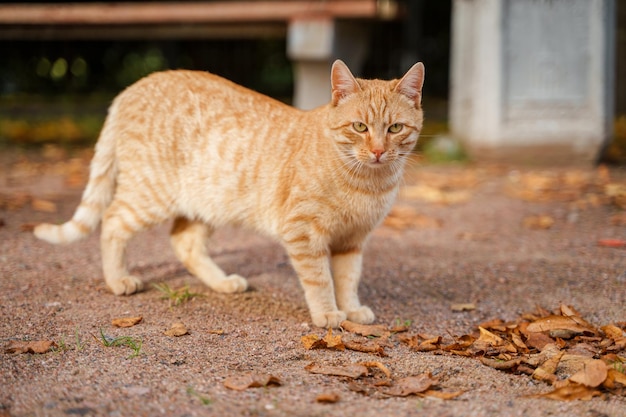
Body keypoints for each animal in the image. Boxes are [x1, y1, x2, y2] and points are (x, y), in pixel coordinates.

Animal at [34, 60, 424, 328]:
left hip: (208, 203)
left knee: (183, 241)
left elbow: (348, 278)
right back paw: (118, 280)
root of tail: (133, 87)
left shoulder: (352, 241)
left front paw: (352, 308)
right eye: (359, 127)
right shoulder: (303, 233)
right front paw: (328, 313)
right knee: (113, 221)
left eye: (395, 128)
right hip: (150, 194)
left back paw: (222, 283)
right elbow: (320, 279)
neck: (367, 181)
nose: (378, 151)